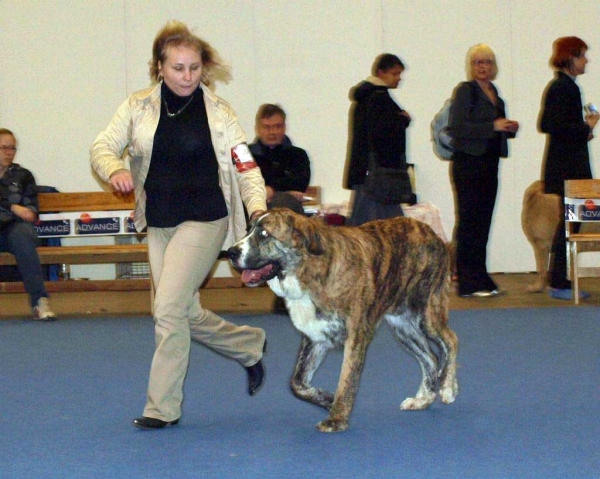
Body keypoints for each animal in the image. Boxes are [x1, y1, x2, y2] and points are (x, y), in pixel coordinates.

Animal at [227, 210, 458, 436]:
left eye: (264, 234)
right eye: (248, 230)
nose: (230, 252)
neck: (312, 269)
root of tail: (434, 235)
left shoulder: (355, 338)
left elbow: (346, 381)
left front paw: (337, 419)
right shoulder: (315, 338)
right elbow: (297, 383)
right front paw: (328, 399)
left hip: (426, 314)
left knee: (451, 340)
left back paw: (447, 387)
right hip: (402, 328)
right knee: (431, 358)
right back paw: (423, 399)